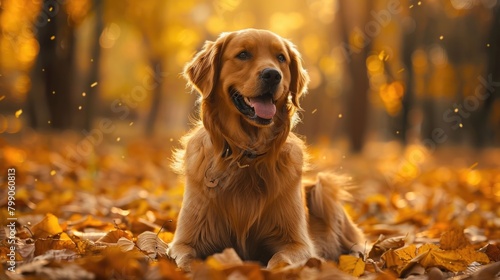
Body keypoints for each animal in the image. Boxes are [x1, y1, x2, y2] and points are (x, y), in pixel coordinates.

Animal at [168, 29, 364, 272]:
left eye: (281, 58)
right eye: (243, 54)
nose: (272, 75)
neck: (245, 154)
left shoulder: (297, 243)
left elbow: (279, 261)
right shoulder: (184, 241)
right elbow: (186, 262)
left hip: (323, 186)